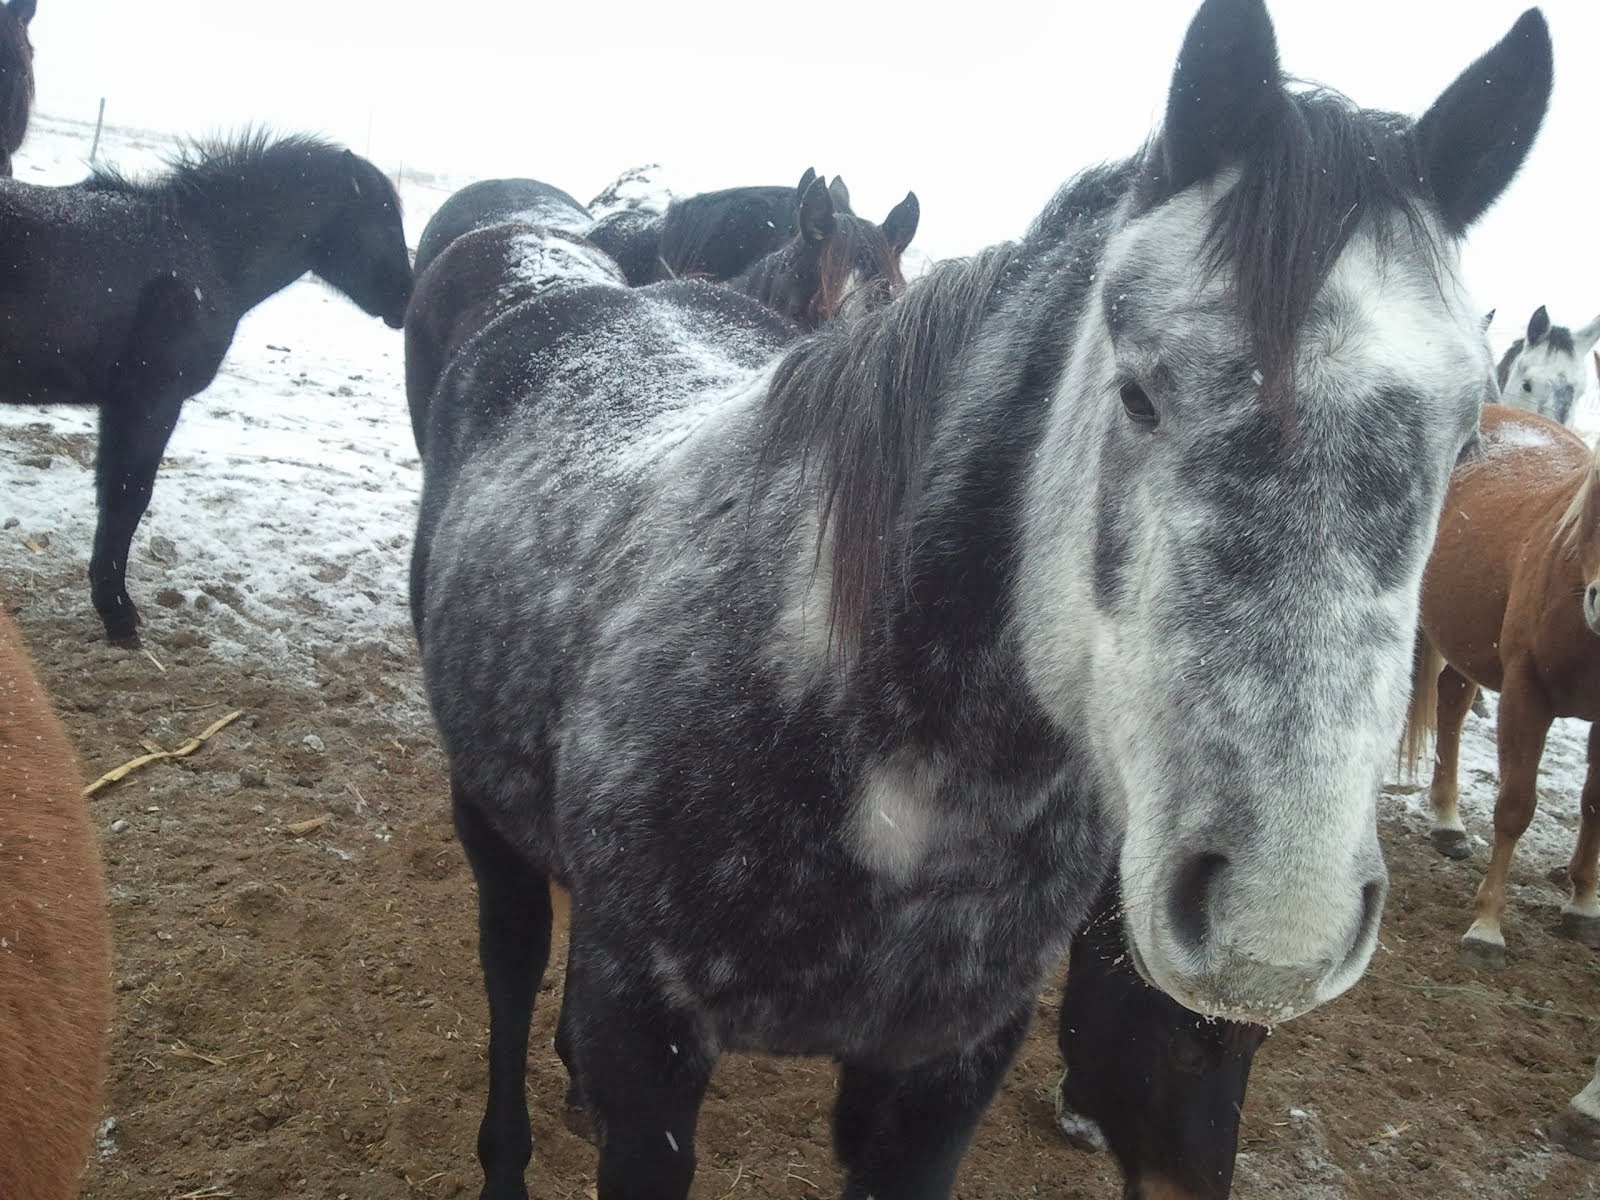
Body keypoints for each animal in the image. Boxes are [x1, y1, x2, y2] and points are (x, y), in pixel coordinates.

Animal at [0, 130, 413, 644]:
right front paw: (117, 614)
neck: (205, 250)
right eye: (384, 221)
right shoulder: (151, 401)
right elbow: (127, 497)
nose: (407, 298)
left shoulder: (122, 405)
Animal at [1404, 403, 1600, 969]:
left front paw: (1583, 904)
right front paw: (1486, 927)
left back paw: (1448, 823)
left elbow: (1594, 802)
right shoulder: (1525, 696)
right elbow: (1514, 807)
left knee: (1451, 704)